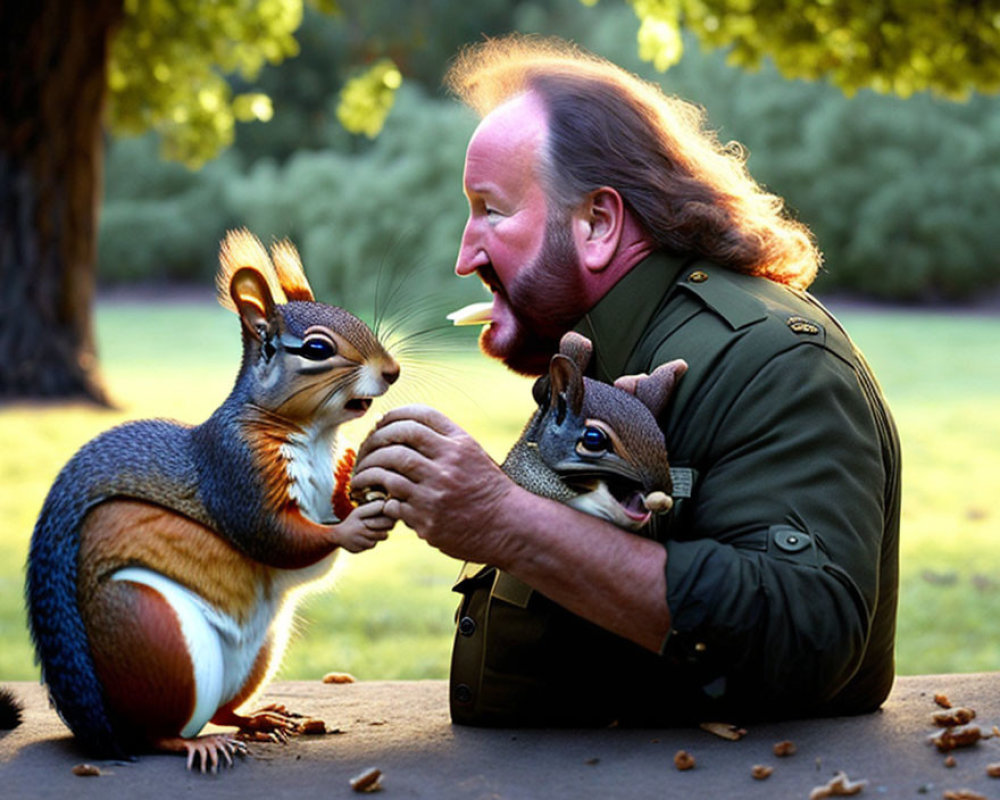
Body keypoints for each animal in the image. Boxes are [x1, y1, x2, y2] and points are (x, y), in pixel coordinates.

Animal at [24, 230, 398, 768]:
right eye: (316, 348)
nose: (391, 371)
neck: (312, 434)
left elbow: (322, 526)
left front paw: (363, 475)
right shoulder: (236, 474)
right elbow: (277, 536)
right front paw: (352, 528)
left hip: (259, 654)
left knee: (224, 708)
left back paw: (260, 719)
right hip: (157, 639)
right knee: (157, 734)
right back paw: (197, 742)